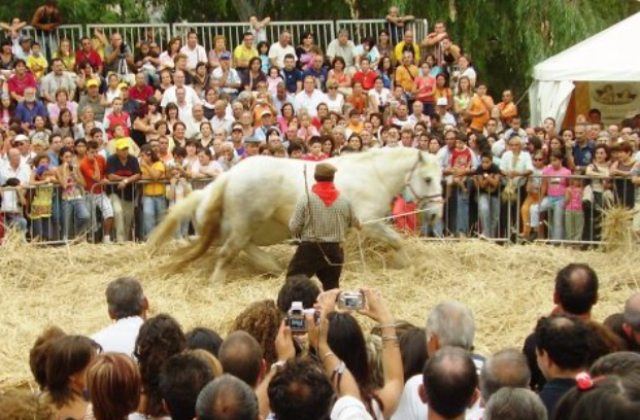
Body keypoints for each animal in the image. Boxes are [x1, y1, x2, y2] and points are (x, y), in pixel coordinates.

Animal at [148, 147, 442, 282]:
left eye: (442, 177)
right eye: (427, 179)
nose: (436, 214)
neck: (373, 175)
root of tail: (229, 176)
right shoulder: (369, 223)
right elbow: (396, 240)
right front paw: (407, 264)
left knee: (242, 248)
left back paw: (272, 267)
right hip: (245, 223)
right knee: (228, 252)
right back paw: (218, 282)